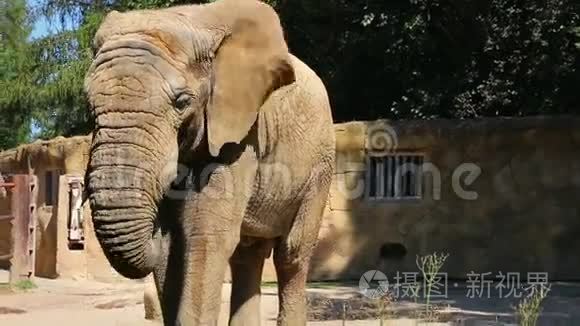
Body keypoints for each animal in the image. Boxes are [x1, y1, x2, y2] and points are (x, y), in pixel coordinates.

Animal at [83, 0, 334, 326]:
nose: (153, 230)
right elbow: (173, 247)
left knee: (291, 253)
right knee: (248, 255)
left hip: (320, 166)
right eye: (89, 104)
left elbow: (205, 236)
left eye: (181, 102)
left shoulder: (240, 134)